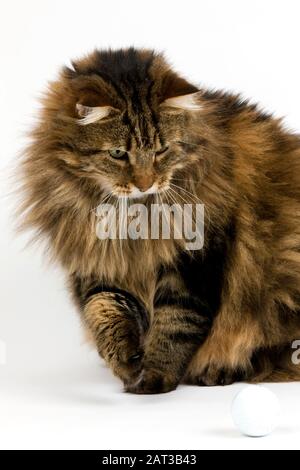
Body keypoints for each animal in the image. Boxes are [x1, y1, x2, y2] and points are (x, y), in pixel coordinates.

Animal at [18, 47, 300, 392]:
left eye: (162, 150)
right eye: (117, 153)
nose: (145, 183)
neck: (131, 220)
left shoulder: (194, 262)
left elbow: (174, 326)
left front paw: (153, 381)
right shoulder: (98, 264)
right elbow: (104, 311)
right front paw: (126, 361)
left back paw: (219, 372)